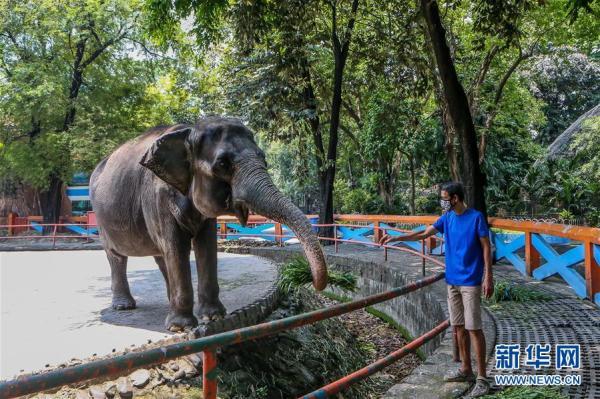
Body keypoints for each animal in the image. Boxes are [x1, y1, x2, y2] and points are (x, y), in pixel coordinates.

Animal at [90, 117, 328, 332]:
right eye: (223, 164)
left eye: (264, 159)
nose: (313, 281)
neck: (189, 130)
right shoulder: (157, 197)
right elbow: (177, 247)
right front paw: (180, 327)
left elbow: (206, 245)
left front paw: (214, 317)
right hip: (102, 220)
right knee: (117, 257)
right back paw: (124, 306)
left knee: (161, 255)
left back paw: (167, 300)